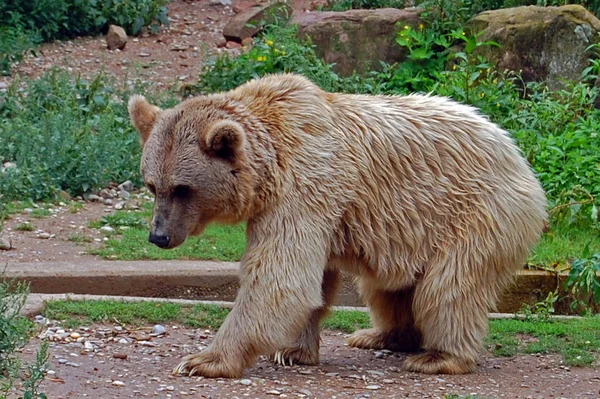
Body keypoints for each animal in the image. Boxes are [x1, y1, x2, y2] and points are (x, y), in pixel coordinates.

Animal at [127, 72, 548, 382]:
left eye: (183, 188)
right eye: (152, 185)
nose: (158, 236)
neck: (270, 165)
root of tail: (517, 153)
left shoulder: (304, 185)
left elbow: (282, 277)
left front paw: (203, 360)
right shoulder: (313, 202)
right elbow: (314, 279)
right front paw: (292, 350)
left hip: (476, 213)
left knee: (449, 287)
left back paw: (439, 357)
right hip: (411, 229)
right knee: (387, 288)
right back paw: (378, 335)